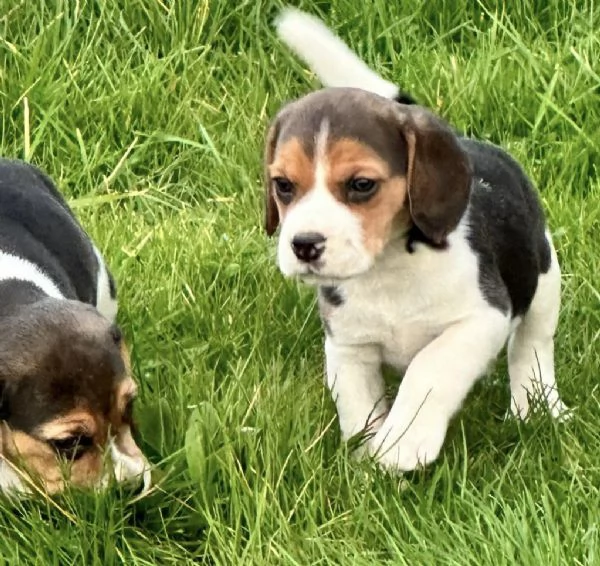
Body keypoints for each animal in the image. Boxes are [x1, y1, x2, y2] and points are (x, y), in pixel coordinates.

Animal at [266, 8, 568, 472]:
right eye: (283, 185)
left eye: (361, 185)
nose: (304, 244)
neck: (389, 267)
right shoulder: (348, 344)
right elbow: (357, 405)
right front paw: (366, 462)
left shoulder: (481, 318)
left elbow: (429, 368)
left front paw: (402, 444)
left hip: (545, 279)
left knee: (531, 348)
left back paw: (537, 408)